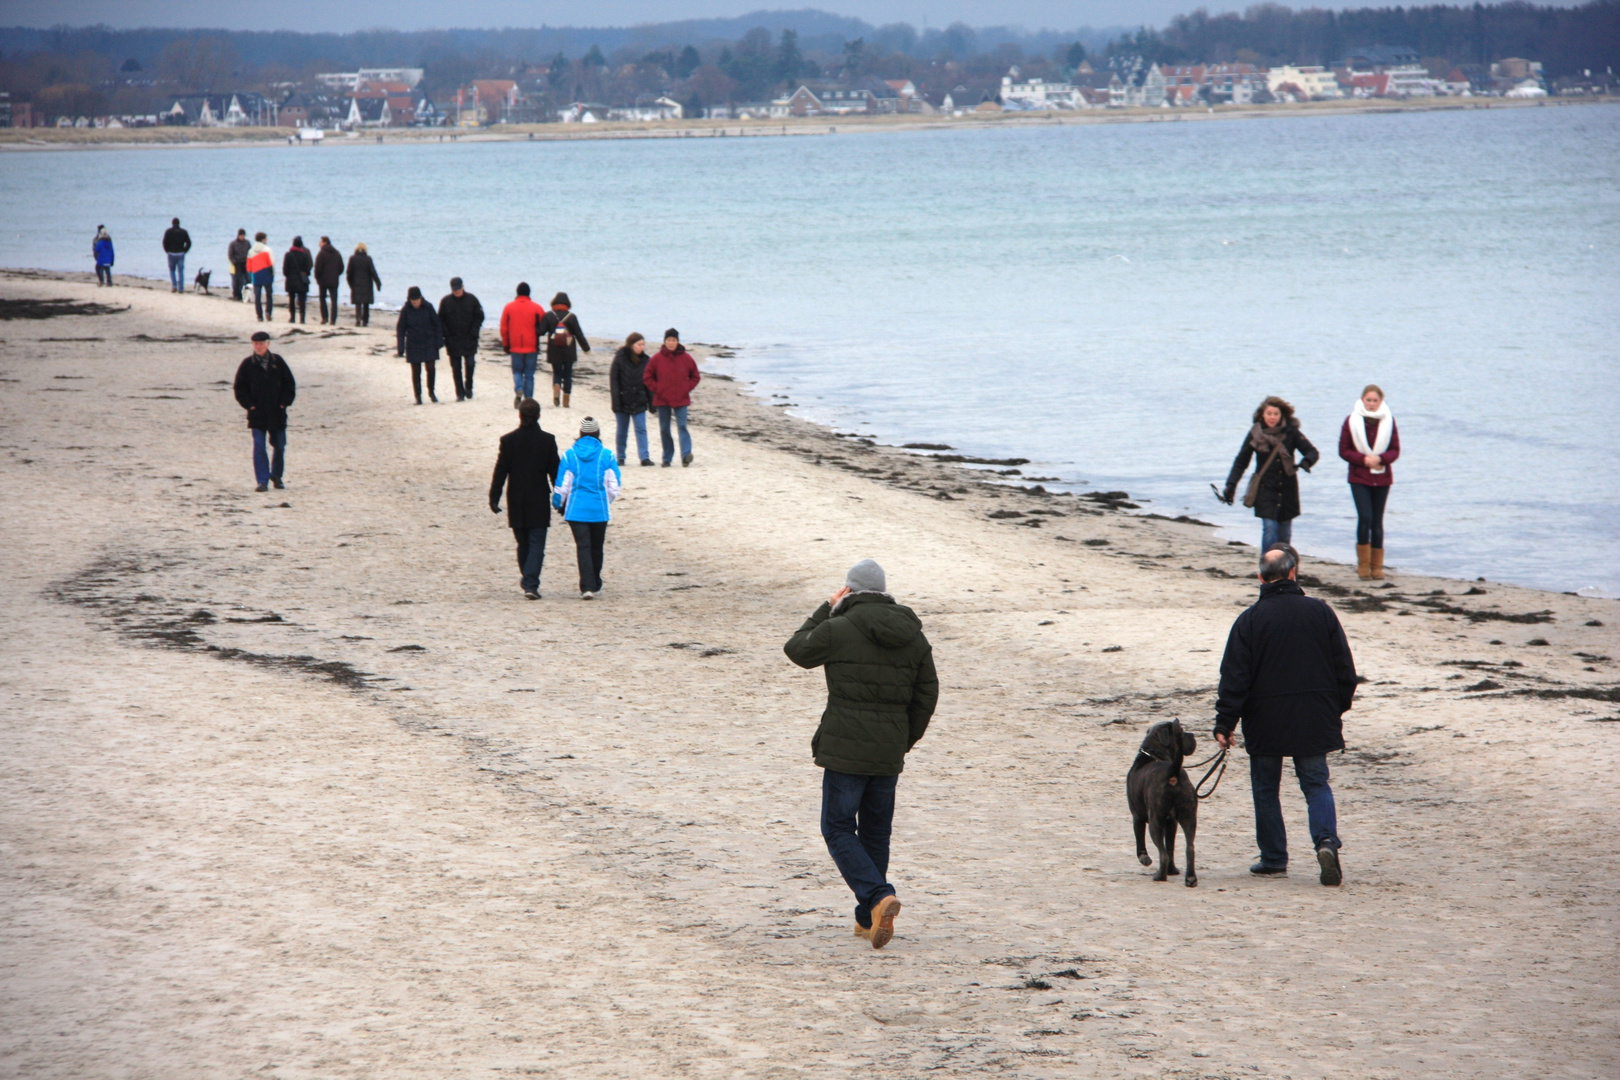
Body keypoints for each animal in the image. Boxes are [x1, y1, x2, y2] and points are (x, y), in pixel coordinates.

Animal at [1127, 718, 1205, 887]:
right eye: (1181, 731)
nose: (1192, 734)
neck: (1154, 754)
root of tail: (1173, 773)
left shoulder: (1137, 817)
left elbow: (1140, 840)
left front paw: (1145, 859)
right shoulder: (1172, 822)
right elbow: (1170, 846)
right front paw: (1173, 870)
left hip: (1155, 821)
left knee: (1162, 854)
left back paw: (1160, 876)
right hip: (1189, 816)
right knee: (1189, 848)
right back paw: (1190, 878)